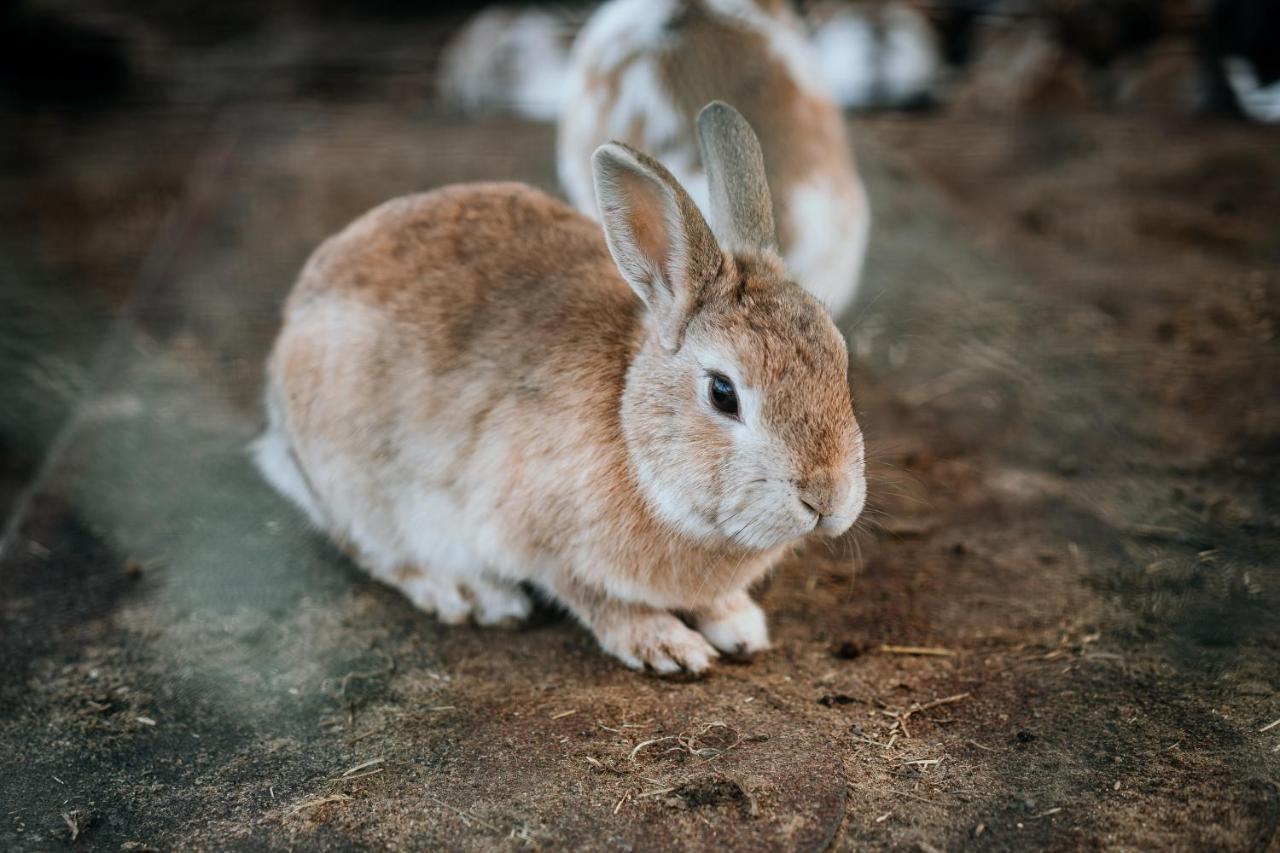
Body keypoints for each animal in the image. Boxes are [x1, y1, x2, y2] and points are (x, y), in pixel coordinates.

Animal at [253, 101, 865, 671]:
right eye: (723, 393)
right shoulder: (539, 539)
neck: (629, 425)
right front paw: (666, 645)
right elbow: (598, 599)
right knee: (378, 552)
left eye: (840, 361)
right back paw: (471, 594)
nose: (826, 499)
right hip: (361, 485)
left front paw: (741, 626)